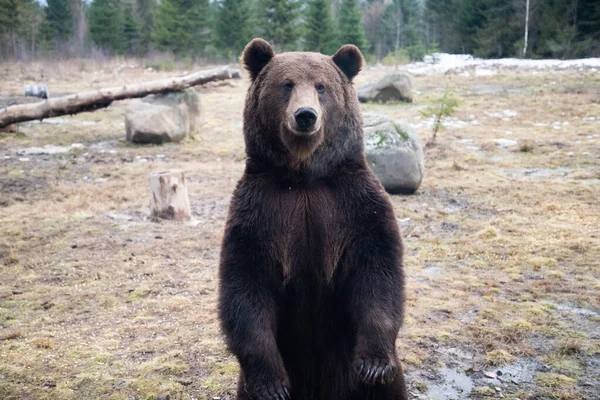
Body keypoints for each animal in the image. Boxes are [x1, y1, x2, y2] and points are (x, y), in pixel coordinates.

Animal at [217, 38, 408, 400]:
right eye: (287, 84)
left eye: (321, 86)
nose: (305, 116)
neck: (305, 178)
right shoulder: (258, 212)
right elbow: (245, 283)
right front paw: (272, 385)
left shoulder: (356, 205)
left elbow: (378, 270)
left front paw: (374, 364)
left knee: (388, 387)